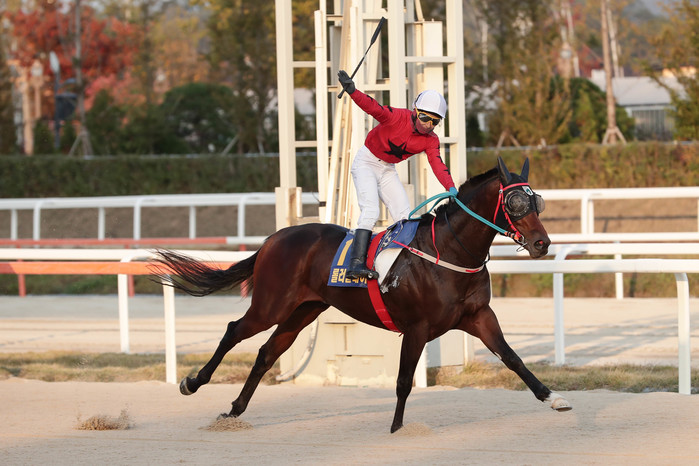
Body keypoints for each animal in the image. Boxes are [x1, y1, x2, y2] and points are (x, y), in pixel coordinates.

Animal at [150, 156, 572, 433]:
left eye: (537, 201)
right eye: (515, 202)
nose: (542, 243)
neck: (450, 252)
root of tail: (274, 238)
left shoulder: (479, 316)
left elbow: (513, 359)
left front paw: (554, 397)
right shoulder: (417, 327)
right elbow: (403, 380)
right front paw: (397, 429)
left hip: (304, 309)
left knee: (266, 353)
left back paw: (235, 410)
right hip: (272, 304)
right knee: (233, 330)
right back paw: (193, 383)